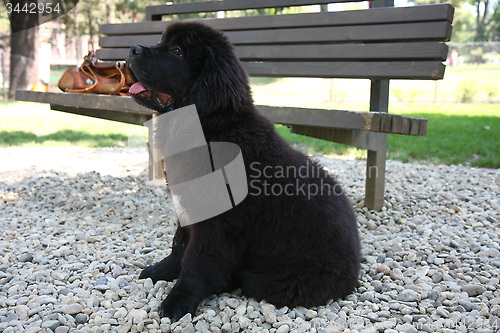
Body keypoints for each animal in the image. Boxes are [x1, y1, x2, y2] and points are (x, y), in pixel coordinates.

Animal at [125, 22, 360, 320]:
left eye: (177, 51)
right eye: (161, 41)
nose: (133, 49)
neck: (207, 128)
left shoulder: (219, 222)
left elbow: (197, 260)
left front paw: (178, 301)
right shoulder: (189, 206)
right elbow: (179, 243)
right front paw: (162, 270)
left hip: (271, 279)